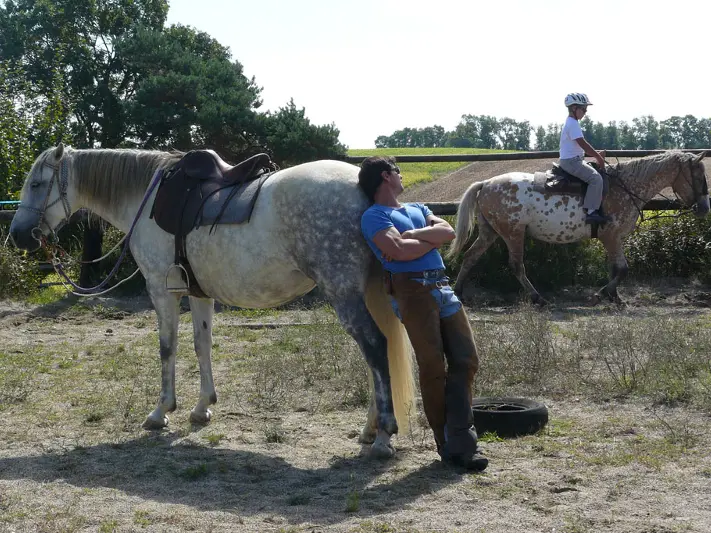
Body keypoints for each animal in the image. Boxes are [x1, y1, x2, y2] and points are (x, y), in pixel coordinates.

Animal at [8, 144, 414, 458]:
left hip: (343, 292)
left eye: (37, 184)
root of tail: (362, 186)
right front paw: (202, 408)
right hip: (361, 291)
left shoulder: (162, 291)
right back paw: (369, 429)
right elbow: (202, 345)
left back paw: (383, 435)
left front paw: (161, 411)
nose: (18, 236)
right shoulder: (198, 294)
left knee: (374, 347)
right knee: (374, 353)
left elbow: (167, 348)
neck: (146, 199)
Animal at [448, 152, 708, 306]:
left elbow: (615, 268)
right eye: (699, 178)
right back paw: (537, 297)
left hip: (490, 232)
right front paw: (604, 293)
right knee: (516, 265)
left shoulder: (613, 239)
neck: (625, 187)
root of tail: (486, 184)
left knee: (470, 256)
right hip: (513, 233)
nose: (705, 208)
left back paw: (459, 291)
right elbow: (623, 269)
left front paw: (614, 296)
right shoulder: (611, 236)